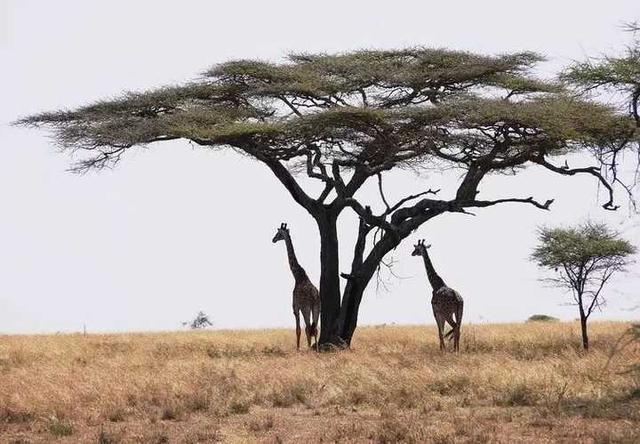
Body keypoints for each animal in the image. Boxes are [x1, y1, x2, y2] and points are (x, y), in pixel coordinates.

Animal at [272, 222, 320, 350]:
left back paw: (309, 348)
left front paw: (298, 349)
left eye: (278, 233)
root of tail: (313, 296)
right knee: (315, 328)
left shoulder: (295, 307)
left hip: (306, 307)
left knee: (308, 327)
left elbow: (298, 329)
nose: (273, 239)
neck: (298, 276)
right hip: (317, 307)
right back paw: (316, 349)